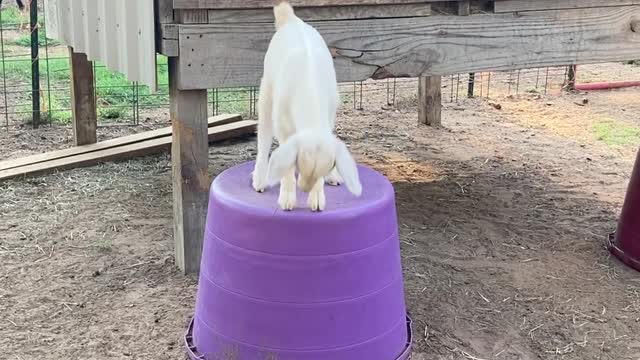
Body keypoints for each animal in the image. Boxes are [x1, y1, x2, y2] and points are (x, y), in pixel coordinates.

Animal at [251, 2, 362, 211]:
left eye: (326, 168)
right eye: (298, 164)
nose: (303, 189)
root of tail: (292, 20)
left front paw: (317, 198)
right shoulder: (283, 127)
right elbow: (286, 167)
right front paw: (287, 199)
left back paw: (333, 178)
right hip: (267, 93)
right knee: (263, 137)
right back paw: (260, 179)